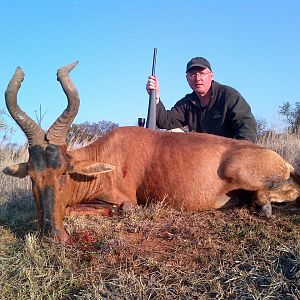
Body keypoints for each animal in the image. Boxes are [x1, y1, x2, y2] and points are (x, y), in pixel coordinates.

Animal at [2, 62, 300, 243]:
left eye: (64, 172)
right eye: (32, 176)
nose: (52, 236)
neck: (107, 154)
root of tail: (279, 158)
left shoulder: (125, 200)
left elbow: (104, 209)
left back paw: (263, 205)